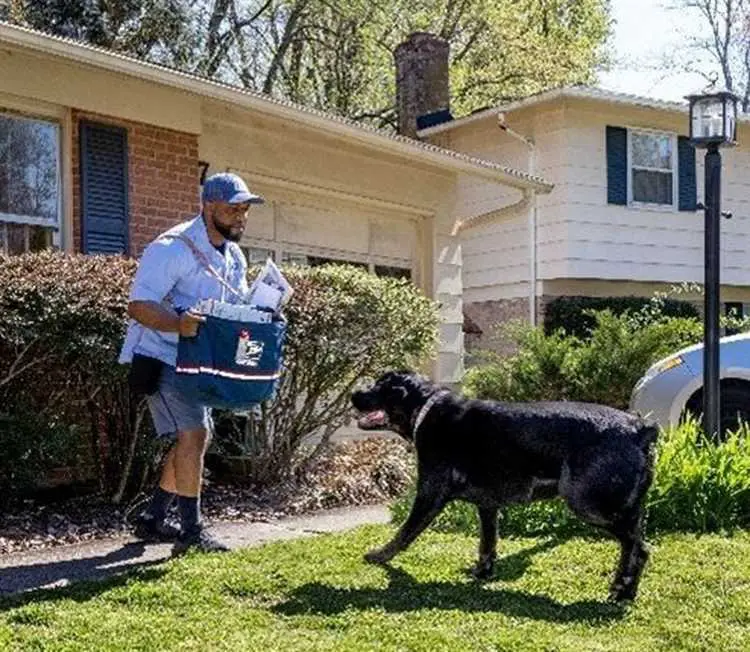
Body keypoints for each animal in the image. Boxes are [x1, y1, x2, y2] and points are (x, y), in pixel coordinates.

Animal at [352, 370, 656, 604]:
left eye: (380, 386)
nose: (353, 393)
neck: (425, 408)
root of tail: (641, 428)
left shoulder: (429, 495)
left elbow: (404, 533)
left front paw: (380, 556)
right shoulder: (487, 506)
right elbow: (487, 543)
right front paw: (483, 572)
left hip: (588, 504)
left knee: (638, 548)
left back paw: (622, 592)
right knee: (633, 545)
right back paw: (624, 591)